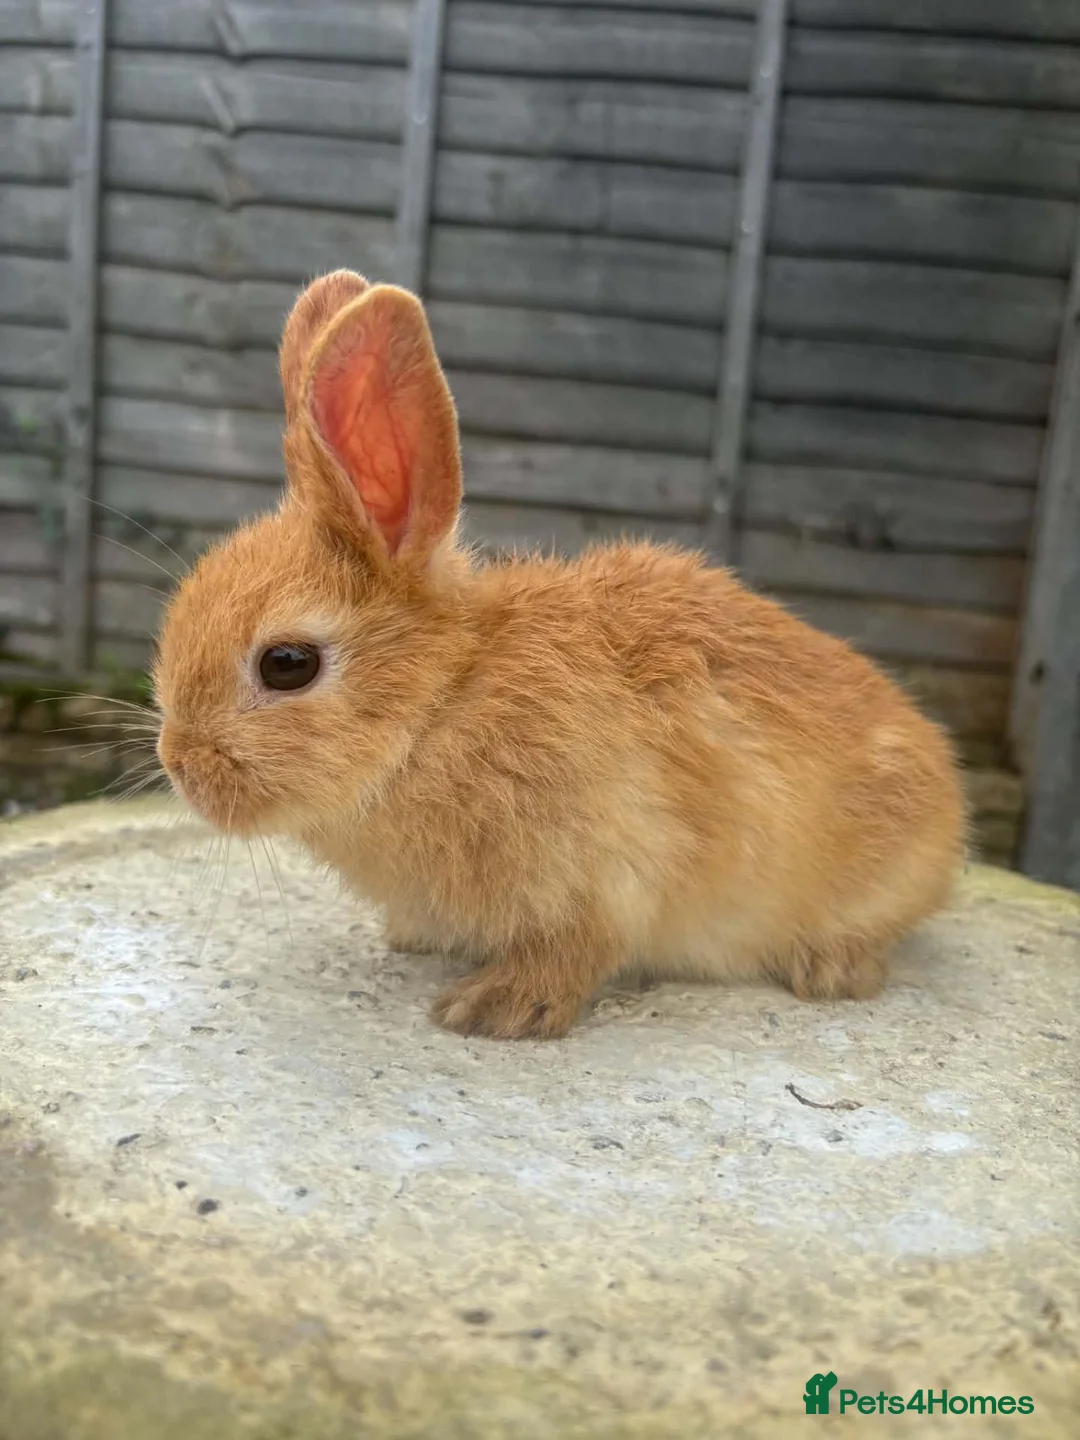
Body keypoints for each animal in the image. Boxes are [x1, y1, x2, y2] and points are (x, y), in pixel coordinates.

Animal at [153, 269, 966, 1040]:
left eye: (287, 664)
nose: (180, 767)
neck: (443, 704)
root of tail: (946, 797)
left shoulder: (605, 874)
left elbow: (573, 950)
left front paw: (494, 1011)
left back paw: (831, 969)